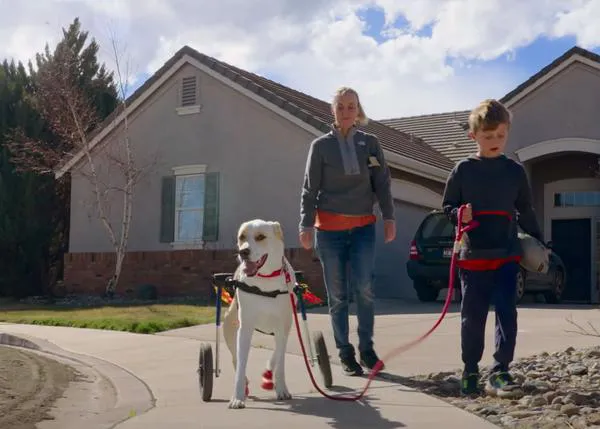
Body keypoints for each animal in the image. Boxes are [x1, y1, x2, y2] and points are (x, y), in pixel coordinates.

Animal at [221, 219, 296, 410]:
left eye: (261, 237)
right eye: (242, 237)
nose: (243, 252)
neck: (265, 281)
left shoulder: (282, 326)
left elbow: (280, 359)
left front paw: (280, 387)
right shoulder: (245, 328)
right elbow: (241, 364)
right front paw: (237, 397)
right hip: (229, 327)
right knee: (235, 358)